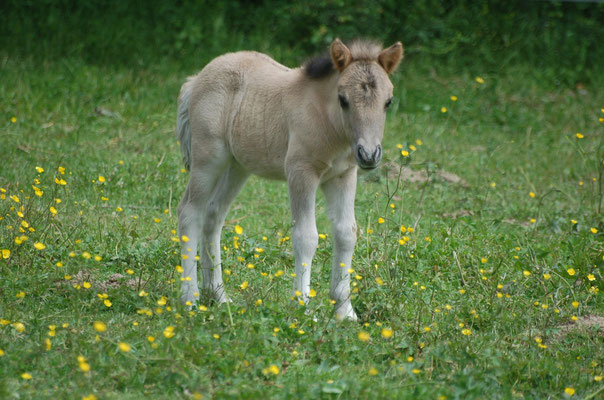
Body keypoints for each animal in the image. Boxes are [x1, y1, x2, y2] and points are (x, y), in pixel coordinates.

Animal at [176, 36, 402, 318]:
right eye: (343, 99)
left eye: (388, 101)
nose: (369, 154)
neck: (328, 122)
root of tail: (197, 79)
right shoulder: (301, 172)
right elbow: (306, 237)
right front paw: (303, 306)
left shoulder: (343, 176)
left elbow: (346, 233)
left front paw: (345, 311)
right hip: (208, 158)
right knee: (189, 212)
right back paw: (190, 299)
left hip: (237, 166)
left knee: (213, 215)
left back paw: (218, 294)